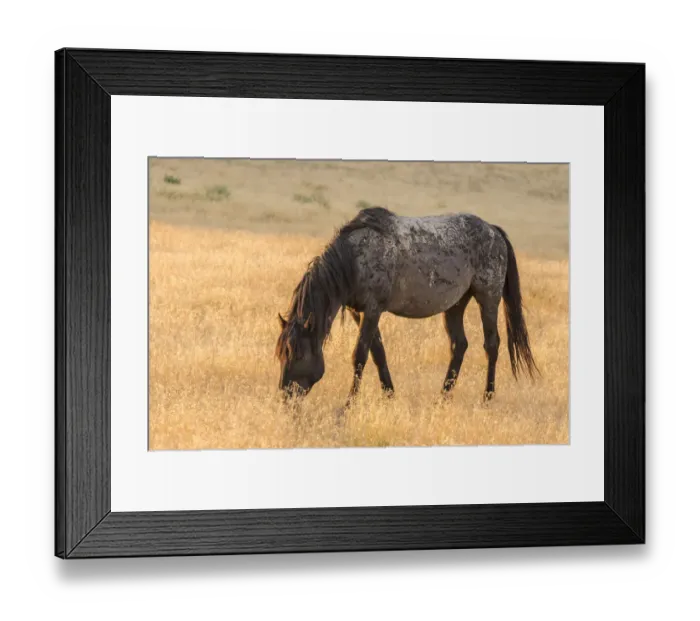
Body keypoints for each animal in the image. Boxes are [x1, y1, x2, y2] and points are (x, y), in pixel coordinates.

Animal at [275, 206, 539, 410]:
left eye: (298, 354)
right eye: (281, 354)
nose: (286, 395)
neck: (354, 259)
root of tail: (494, 230)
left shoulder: (373, 310)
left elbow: (360, 355)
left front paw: (348, 405)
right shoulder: (360, 312)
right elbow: (378, 353)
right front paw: (389, 394)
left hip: (488, 299)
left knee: (491, 345)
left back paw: (487, 398)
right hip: (455, 305)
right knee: (459, 345)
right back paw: (442, 398)